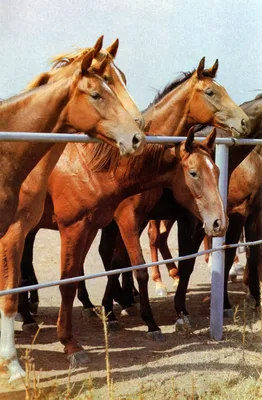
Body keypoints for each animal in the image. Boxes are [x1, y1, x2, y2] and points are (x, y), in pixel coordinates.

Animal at [0, 45, 145, 382]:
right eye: (98, 91)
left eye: (122, 77)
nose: (137, 131)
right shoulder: (21, 232)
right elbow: (12, 293)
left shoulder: (81, 225)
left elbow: (71, 277)